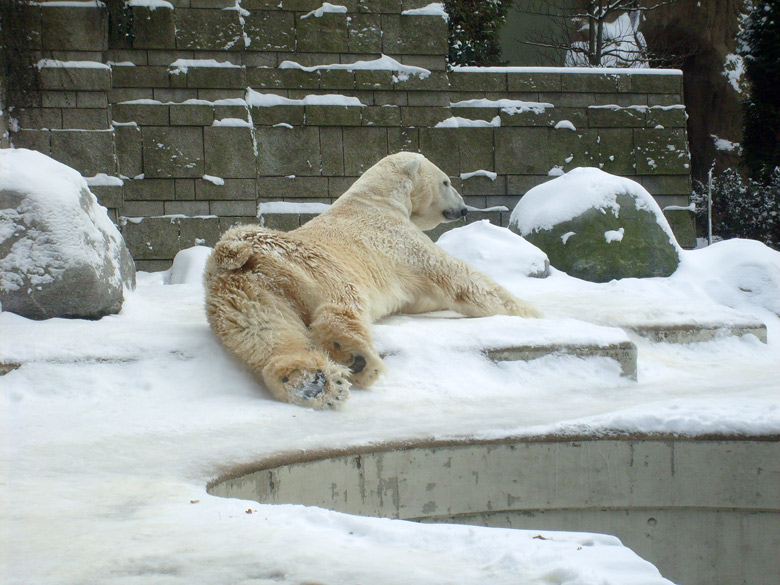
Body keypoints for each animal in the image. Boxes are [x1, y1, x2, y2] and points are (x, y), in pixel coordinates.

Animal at [204, 153, 540, 408]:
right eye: (446, 181)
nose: (464, 208)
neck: (376, 198)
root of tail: (232, 252)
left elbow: (423, 298)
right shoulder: (400, 241)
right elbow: (457, 277)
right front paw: (532, 311)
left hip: (244, 295)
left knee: (265, 333)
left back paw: (313, 382)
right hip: (314, 263)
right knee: (341, 301)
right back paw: (355, 356)